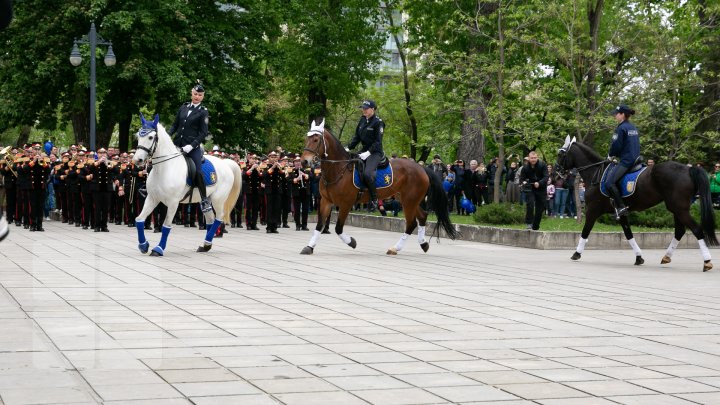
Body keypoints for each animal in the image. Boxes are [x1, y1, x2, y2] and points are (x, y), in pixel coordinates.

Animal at [130, 112, 242, 254]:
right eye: (138, 136)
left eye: (150, 137)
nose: (137, 160)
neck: (165, 168)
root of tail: (225, 163)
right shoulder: (152, 198)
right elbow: (139, 220)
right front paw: (143, 245)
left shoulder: (173, 202)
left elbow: (166, 226)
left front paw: (159, 249)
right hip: (206, 199)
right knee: (210, 219)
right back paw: (205, 245)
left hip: (218, 199)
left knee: (218, 218)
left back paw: (207, 242)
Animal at [300, 118, 458, 254]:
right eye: (306, 139)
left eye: (316, 139)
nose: (304, 162)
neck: (338, 169)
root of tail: (421, 168)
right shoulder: (326, 201)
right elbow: (319, 225)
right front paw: (309, 247)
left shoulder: (346, 204)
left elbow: (338, 228)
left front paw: (352, 242)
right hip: (407, 199)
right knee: (422, 216)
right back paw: (423, 244)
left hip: (409, 201)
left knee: (411, 223)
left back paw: (396, 248)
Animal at [556, 134, 716, 270]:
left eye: (561, 154)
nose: (556, 172)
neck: (596, 173)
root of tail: (688, 169)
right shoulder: (621, 213)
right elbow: (628, 234)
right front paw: (639, 257)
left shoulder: (592, 210)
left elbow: (585, 231)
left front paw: (576, 253)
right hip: (677, 209)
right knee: (680, 231)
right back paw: (666, 257)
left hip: (679, 209)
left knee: (696, 229)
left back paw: (707, 261)